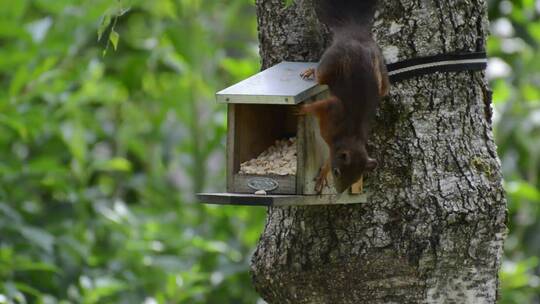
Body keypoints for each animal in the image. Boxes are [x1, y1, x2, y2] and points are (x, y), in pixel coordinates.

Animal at [300, 0, 388, 194]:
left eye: (356, 177)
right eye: (338, 172)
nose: (340, 191)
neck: (350, 137)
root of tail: (354, 32)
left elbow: (328, 157)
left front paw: (322, 175)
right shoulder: (331, 113)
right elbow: (324, 105)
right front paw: (299, 109)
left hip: (381, 72)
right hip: (332, 61)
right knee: (319, 74)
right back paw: (310, 71)